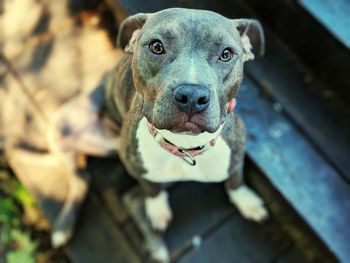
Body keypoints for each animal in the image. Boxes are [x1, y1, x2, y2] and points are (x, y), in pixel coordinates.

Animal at [48, 7, 268, 262]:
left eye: (226, 54)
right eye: (156, 46)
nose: (192, 96)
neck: (184, 145)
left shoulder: (236, 153)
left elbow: (235, 180)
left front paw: (247, 201)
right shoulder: (134, 163)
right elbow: (149, 187)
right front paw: (157, 207)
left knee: (125, 195)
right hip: (61, 125)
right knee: (85, 180)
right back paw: (64, 228)